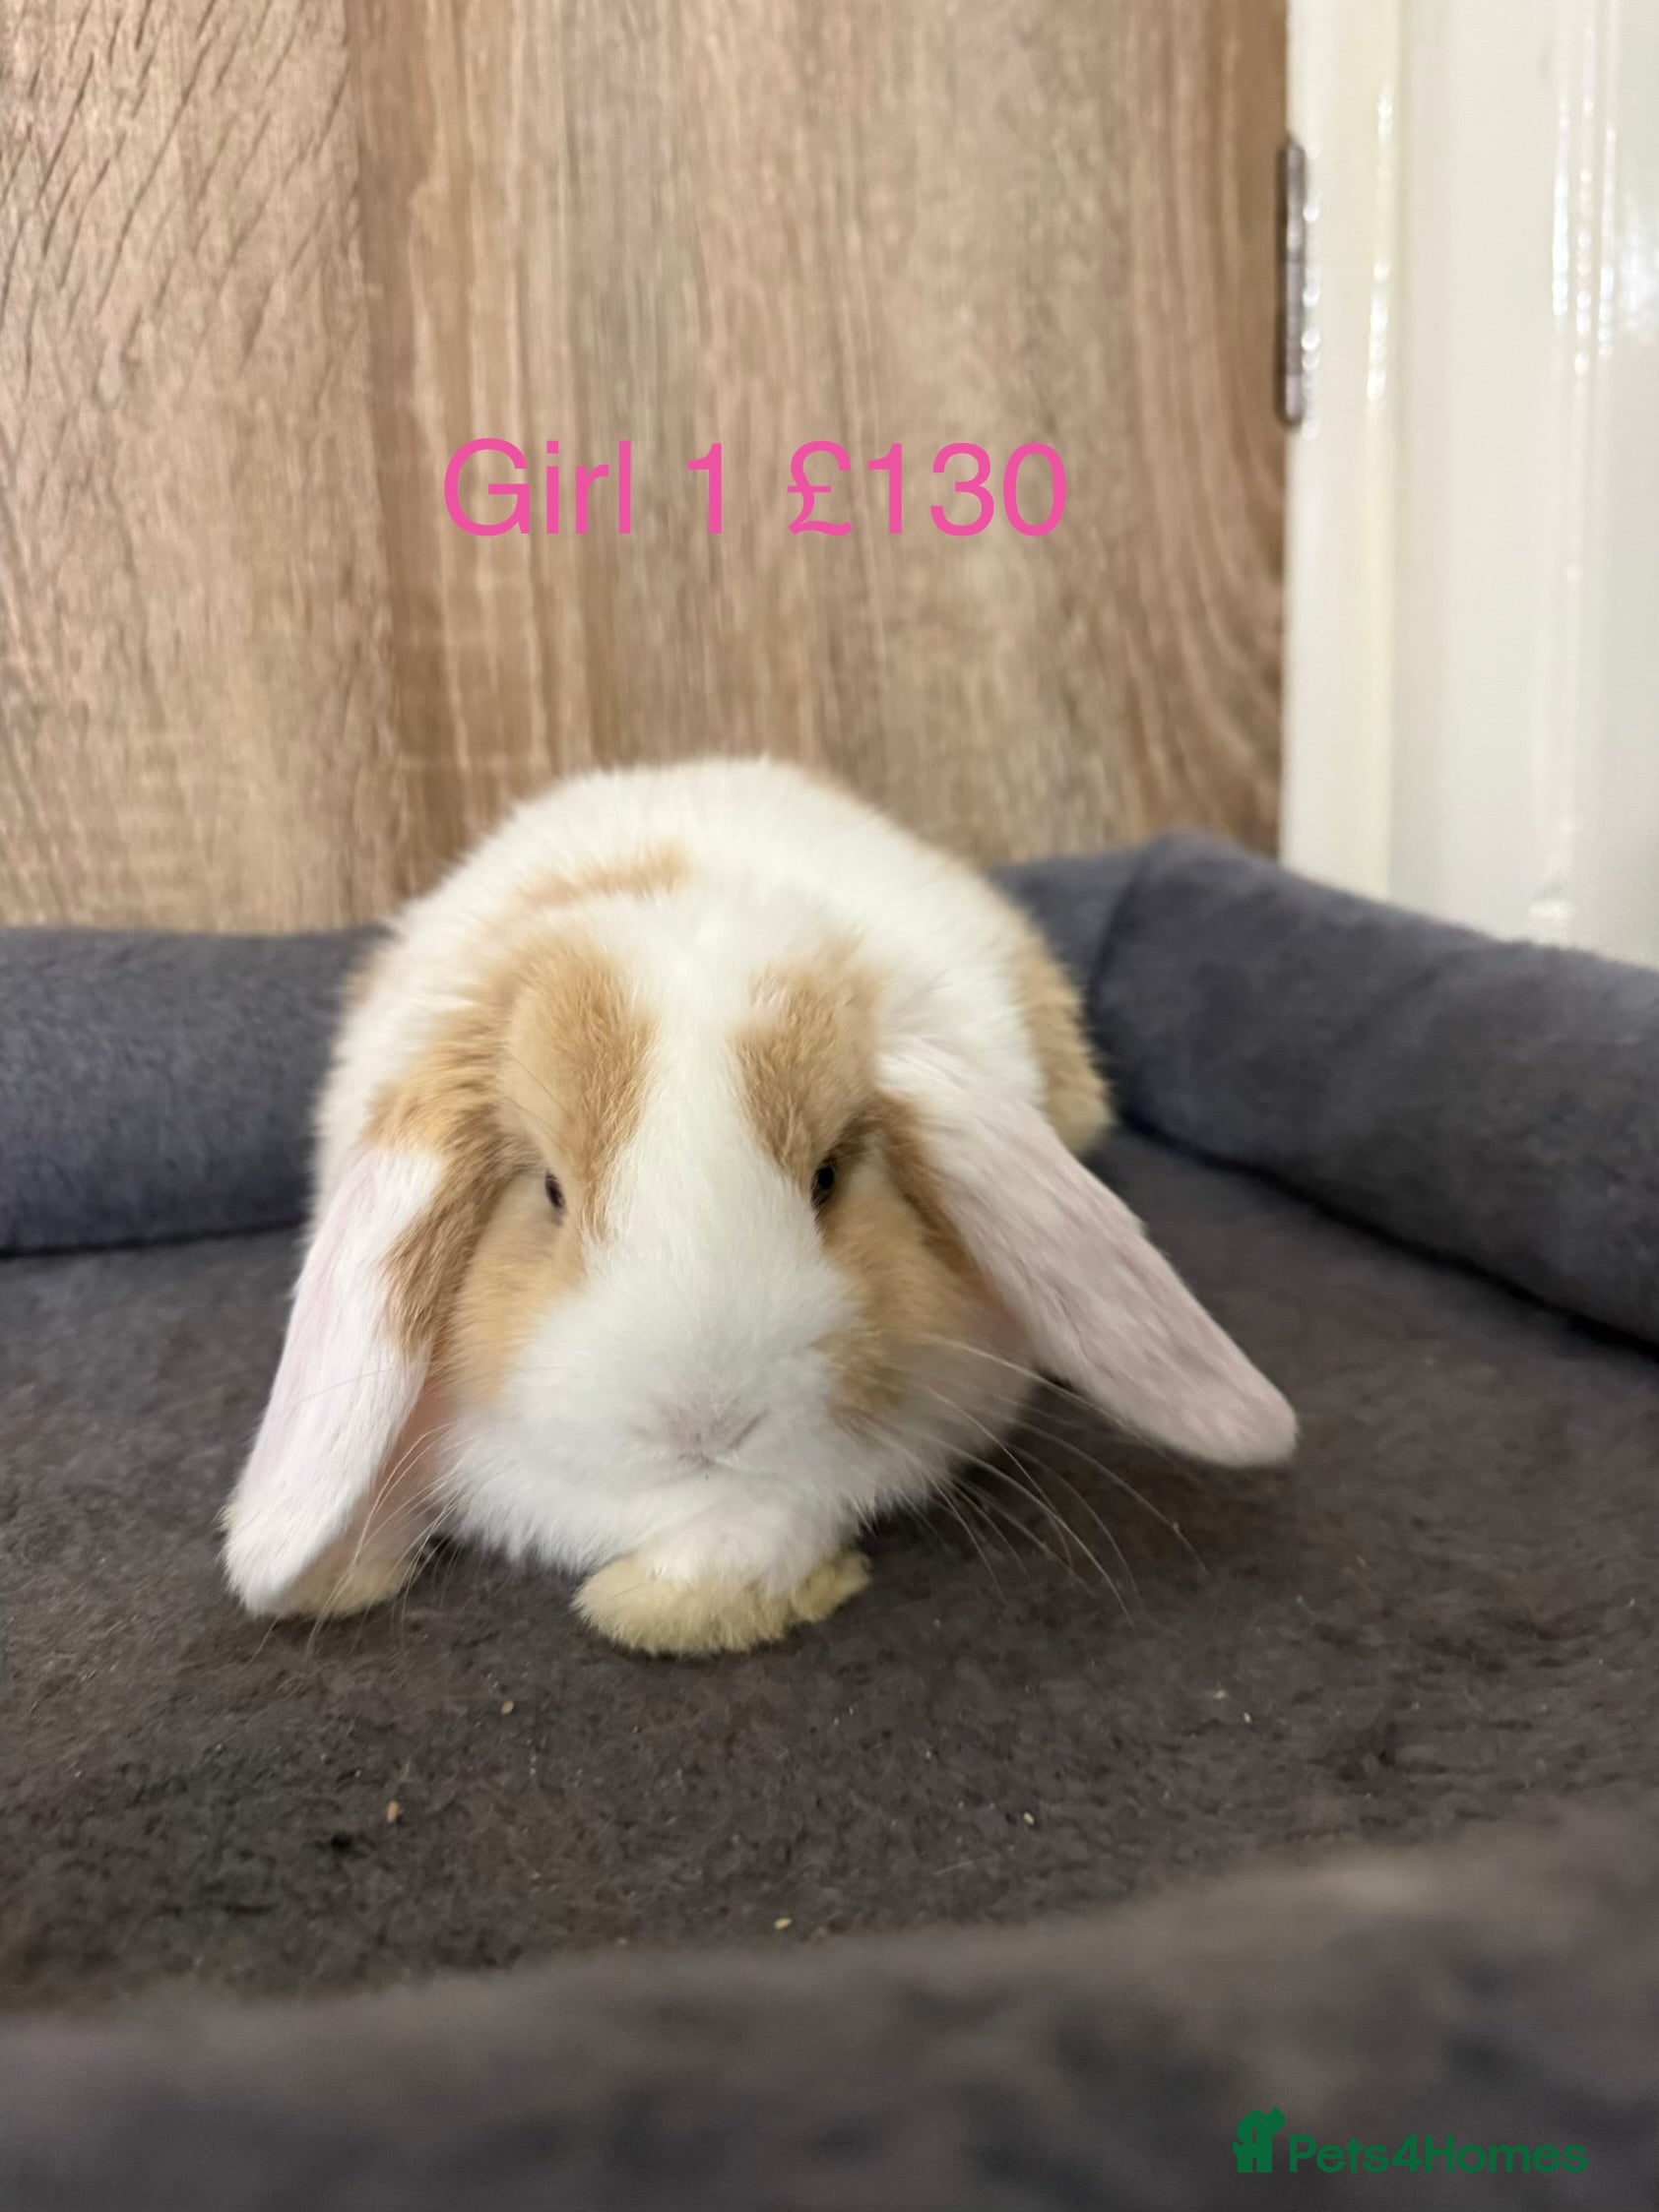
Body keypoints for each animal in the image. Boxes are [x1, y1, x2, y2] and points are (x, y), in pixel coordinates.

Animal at [222, 757, 1295, 1655]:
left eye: (826, 1176)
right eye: (552, 1191)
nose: (702, 1423)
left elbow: (762, 1531)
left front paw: (655, 1609)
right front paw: (328, 1573)